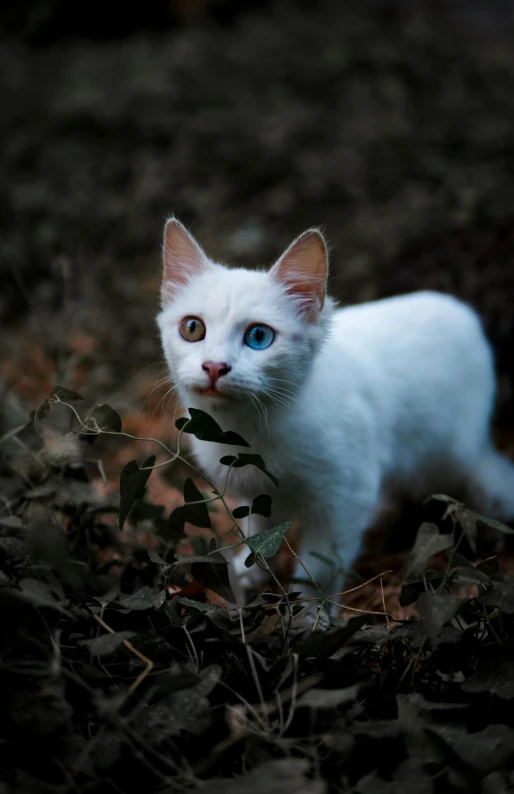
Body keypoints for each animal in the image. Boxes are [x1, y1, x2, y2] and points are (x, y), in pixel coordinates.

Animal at [156, 215, 512, 600]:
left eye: (259, 337)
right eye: (193, 328)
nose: (214, 367)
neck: (247, 431)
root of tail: (462, 311)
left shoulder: (344, 499)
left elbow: (318, 572)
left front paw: (308, 613)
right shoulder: (256, 495)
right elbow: (258, 536)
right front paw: (246, 576)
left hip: (449, 458)